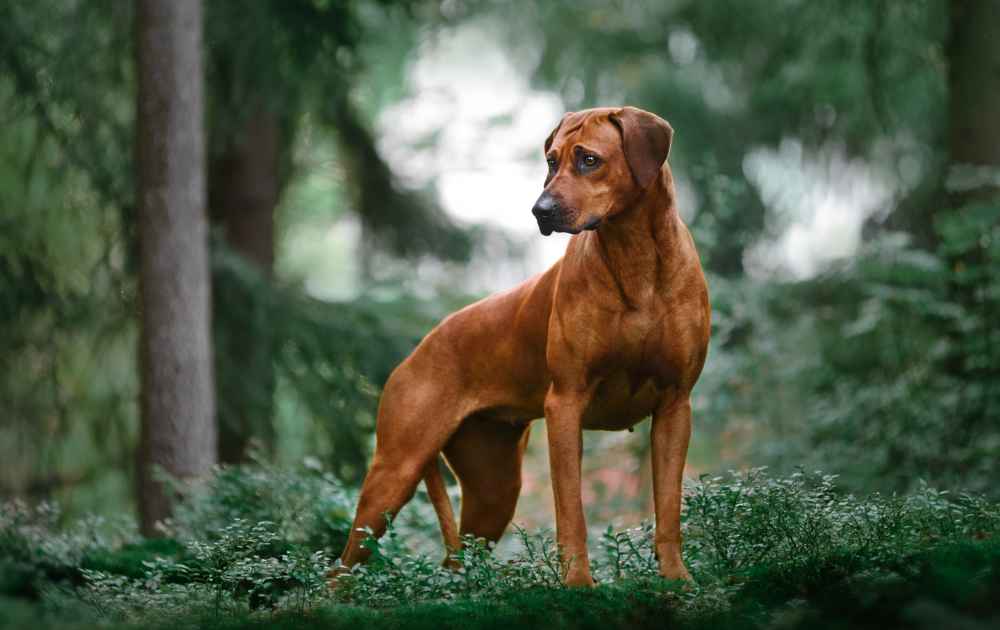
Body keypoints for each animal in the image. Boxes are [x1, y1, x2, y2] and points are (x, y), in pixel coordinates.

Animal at [336, 105, 712, 588]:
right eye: (551, 161)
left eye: (589, 159)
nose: (540, 210)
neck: (635, 256)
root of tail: (414, 353)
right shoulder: (565, 405)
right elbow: (571, 513)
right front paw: (578, 585)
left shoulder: (674, 407)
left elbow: (668, 509)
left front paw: (677, 579)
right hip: (393, 472)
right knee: (339, 569)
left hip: (493, 488)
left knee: (456, 561)